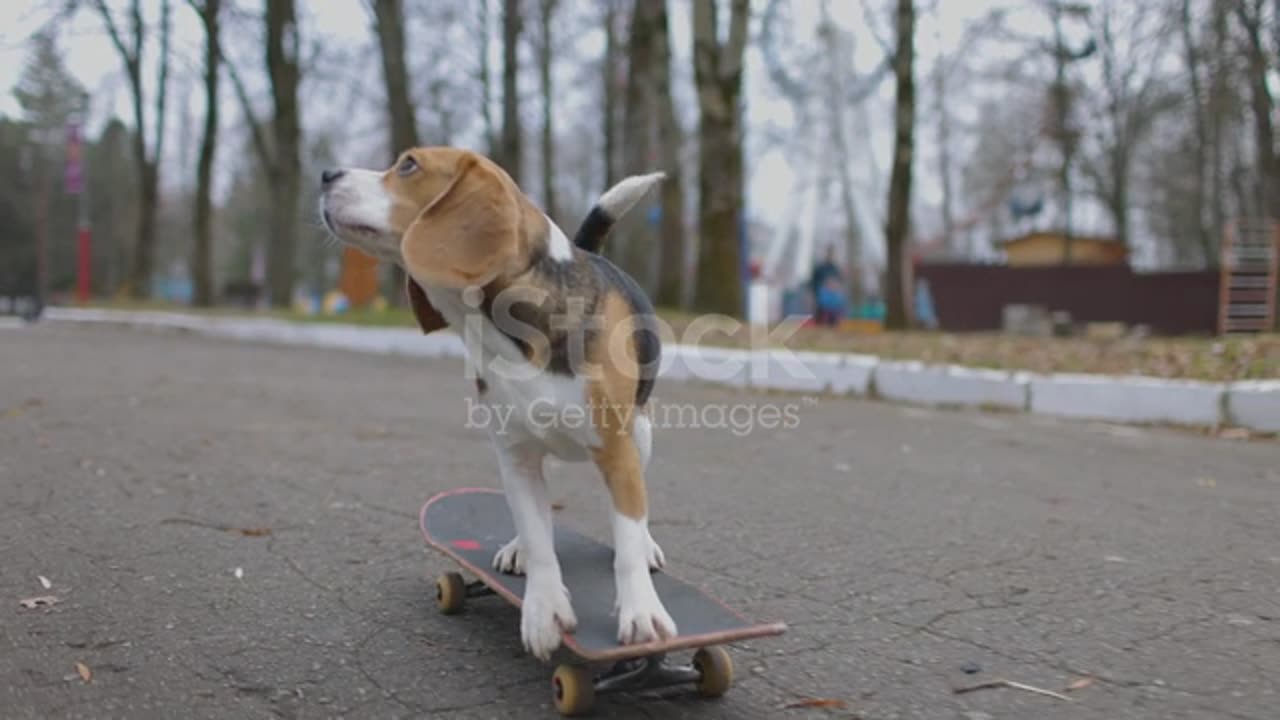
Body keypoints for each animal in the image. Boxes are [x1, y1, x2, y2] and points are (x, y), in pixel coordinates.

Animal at [320, 146, 675, 655]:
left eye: (408, 165)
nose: (326, 174)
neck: (507, 336)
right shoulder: (516, 455)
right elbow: (538, 534)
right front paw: (543, 610)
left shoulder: (618, 450)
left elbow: (626, 532)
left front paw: (641, 613)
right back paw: (518, 548)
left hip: (641, 434)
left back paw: (644, 548)